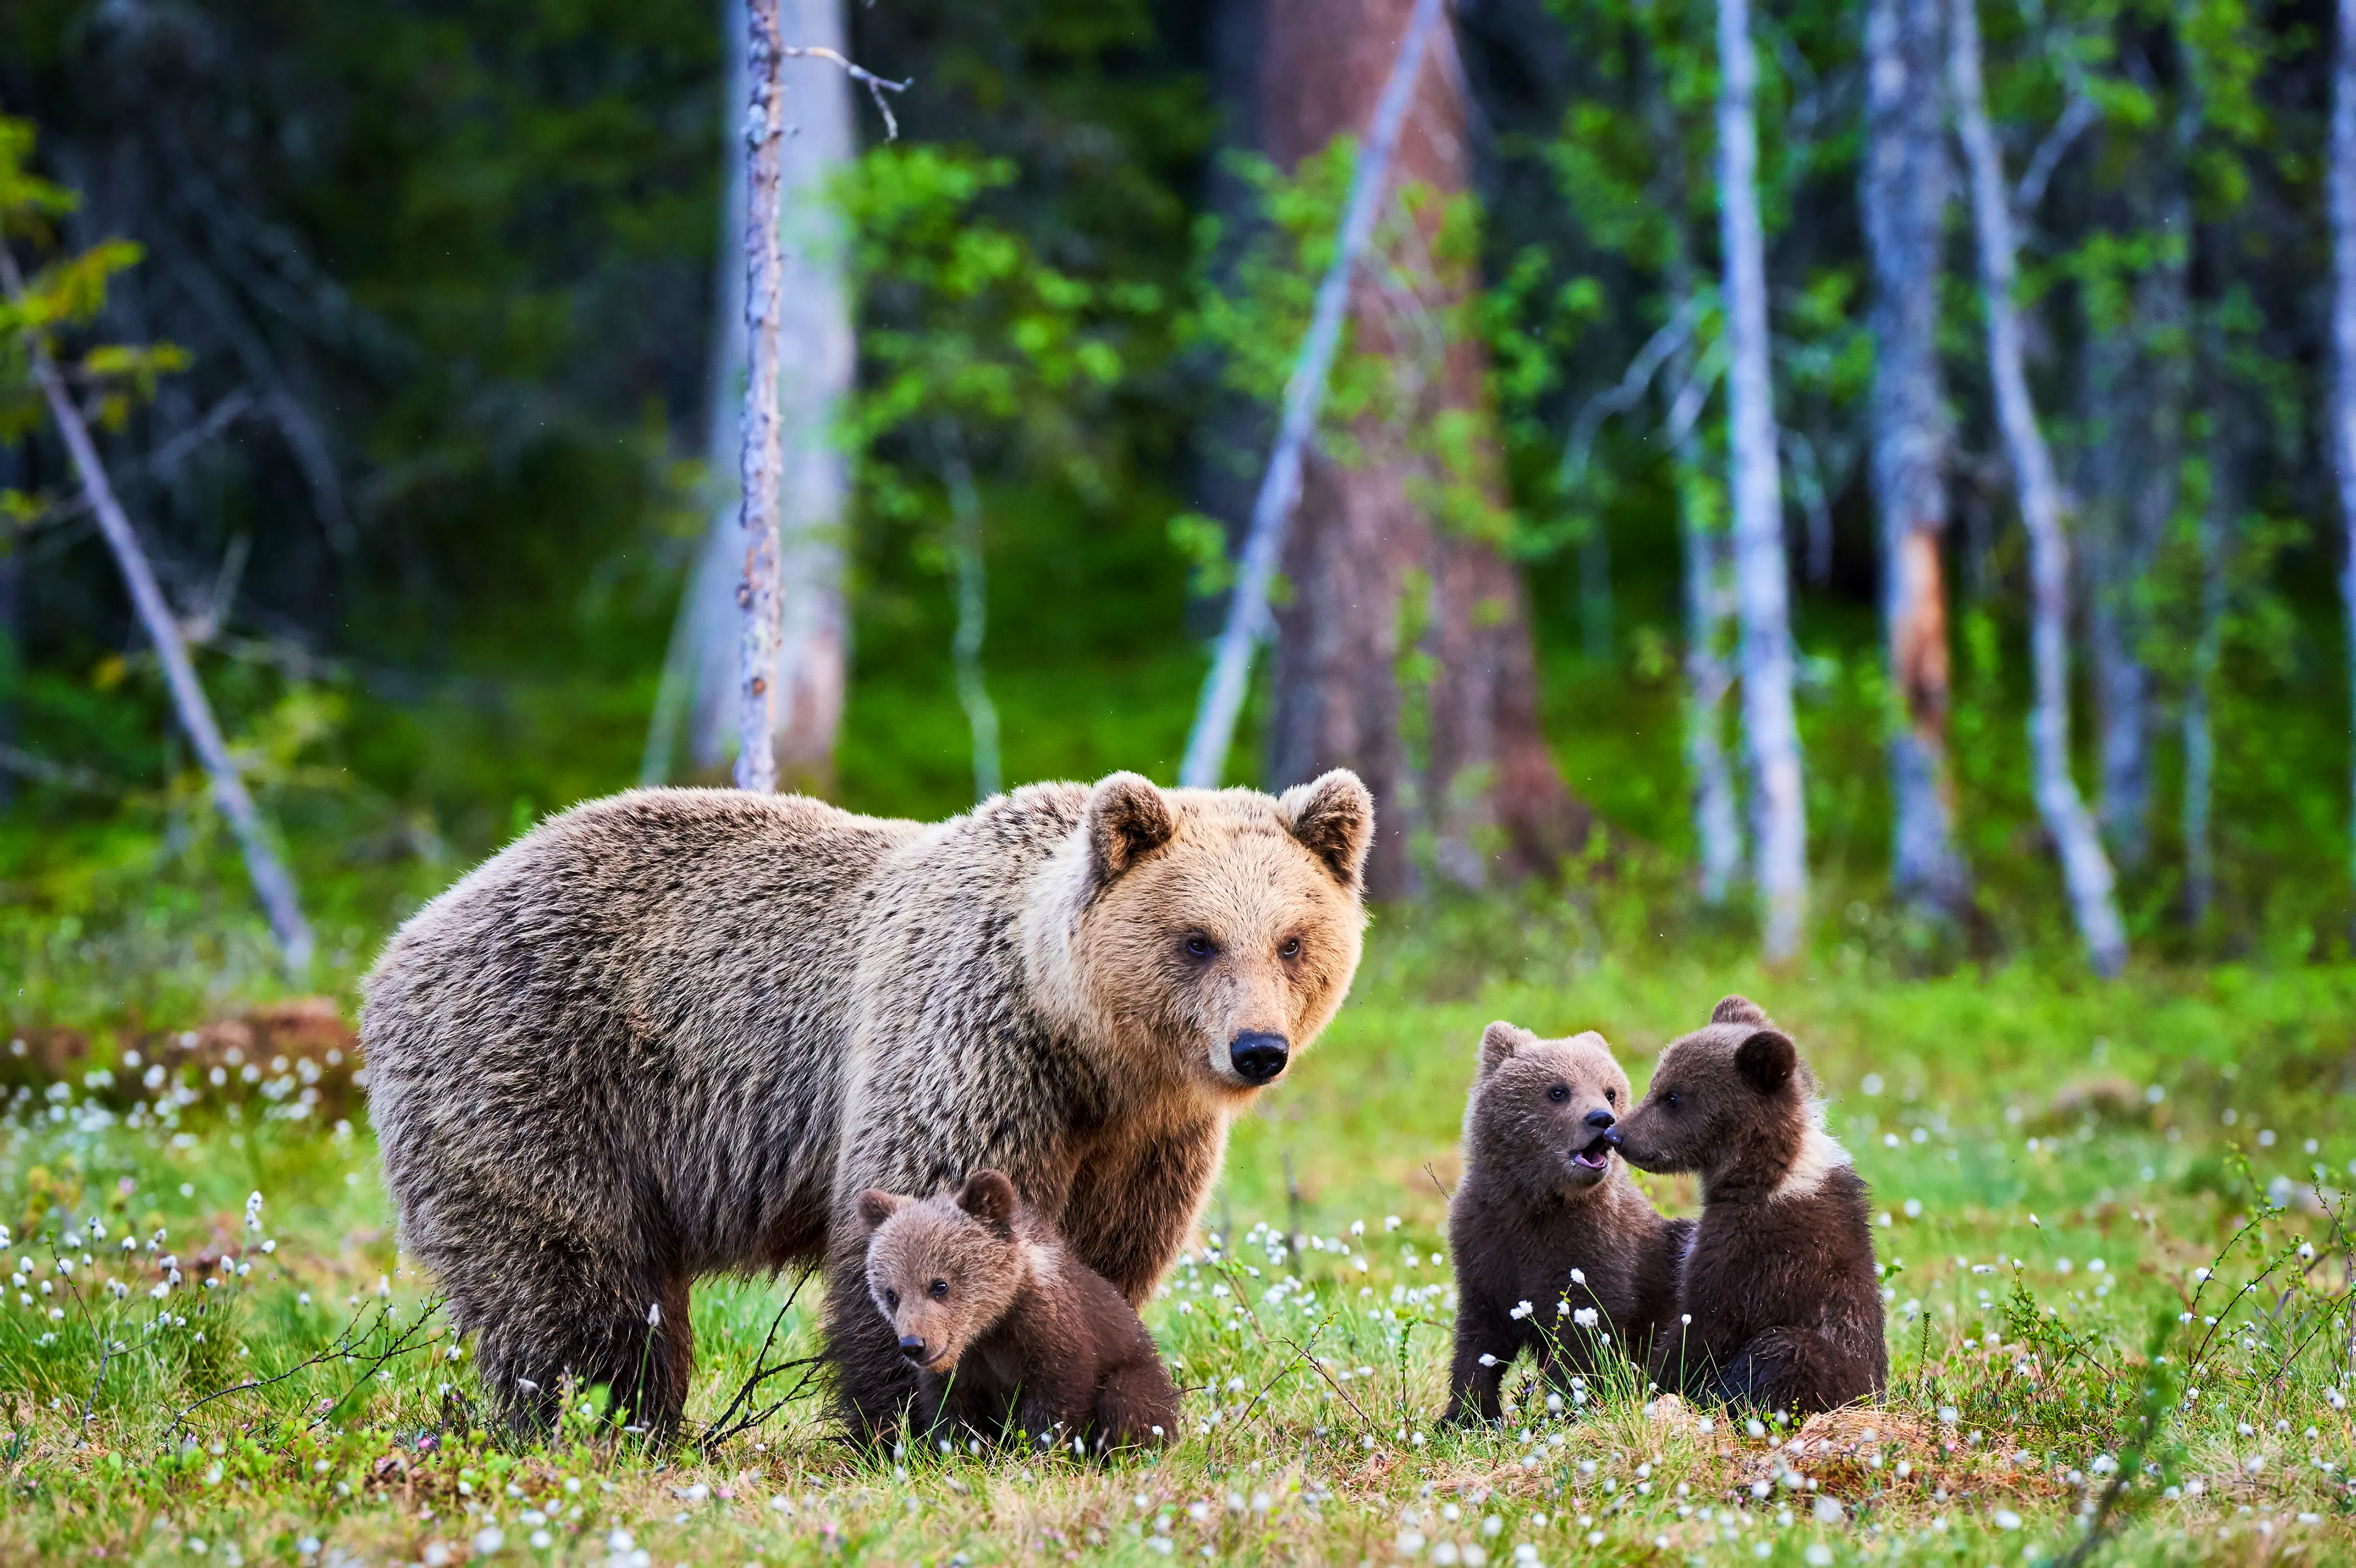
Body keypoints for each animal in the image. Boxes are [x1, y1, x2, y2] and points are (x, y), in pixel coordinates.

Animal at [857, 1168, 1180, 1455]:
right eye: (892, 1294)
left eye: (939, 1285)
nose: (914, 1345)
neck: (992, 1327)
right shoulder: (961, 1373)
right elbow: (952, 1416)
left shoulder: (1057, 1339)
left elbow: (1057, 1406)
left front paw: (1044, 1455)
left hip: (1140, 1373)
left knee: (1129, 1400)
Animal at [1444, 1022, 1692, 1424]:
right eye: (1558, 1090)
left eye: (1610, 1091)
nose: (1602, 1118)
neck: (1538, 1201)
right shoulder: (1486, 1246)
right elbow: (1481, 1336)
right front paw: (1465, 1414)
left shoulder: (1594, 1251)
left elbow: (1584, 1340)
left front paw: (1567, 1407)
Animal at [1603, 996, 1886, 1416]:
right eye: (1657, 1084)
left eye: (1673, 1097)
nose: (1617, 1134)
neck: (1763, 1175)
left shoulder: (1758, 1253)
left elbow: (1705, 1326)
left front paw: (1648, 1384)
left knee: (1786, 1351)